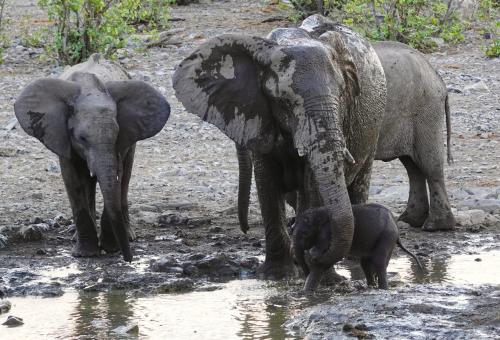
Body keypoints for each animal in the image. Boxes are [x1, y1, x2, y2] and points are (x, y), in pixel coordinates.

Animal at [14, 53, 170, 262]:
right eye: (81, 138)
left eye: (116, 135)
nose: (129, 259)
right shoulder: (62, 136)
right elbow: (73, 180)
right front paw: (86, 254)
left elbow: (118, 177)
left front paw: (111, 249)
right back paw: (76, 237)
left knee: (126, 178)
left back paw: (128, 235)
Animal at [172, 20, 386, 278]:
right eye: (284, 101)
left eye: (342, 94)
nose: (244, 229)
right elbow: (267, 181)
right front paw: (277, 275)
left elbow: (313, 184)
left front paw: (318, 273)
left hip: (374, 131)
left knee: (359, 185)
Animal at [236, 15, 456, 236]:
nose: (245, 229)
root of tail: (438, 78)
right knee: (412, 165)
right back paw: (411, 220)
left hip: (426, 110)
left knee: (429, 165)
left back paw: (435, 226)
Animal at [292, 203, 424, 290]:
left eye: (305, 234)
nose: (306, 272)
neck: (318, 212)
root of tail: (396, 225)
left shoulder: (328, 230)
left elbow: (322, 246)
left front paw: (313, 254)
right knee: (365, 263)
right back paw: (371, 285)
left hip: (387, 236)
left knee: (378, 261)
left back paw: (382, 288)